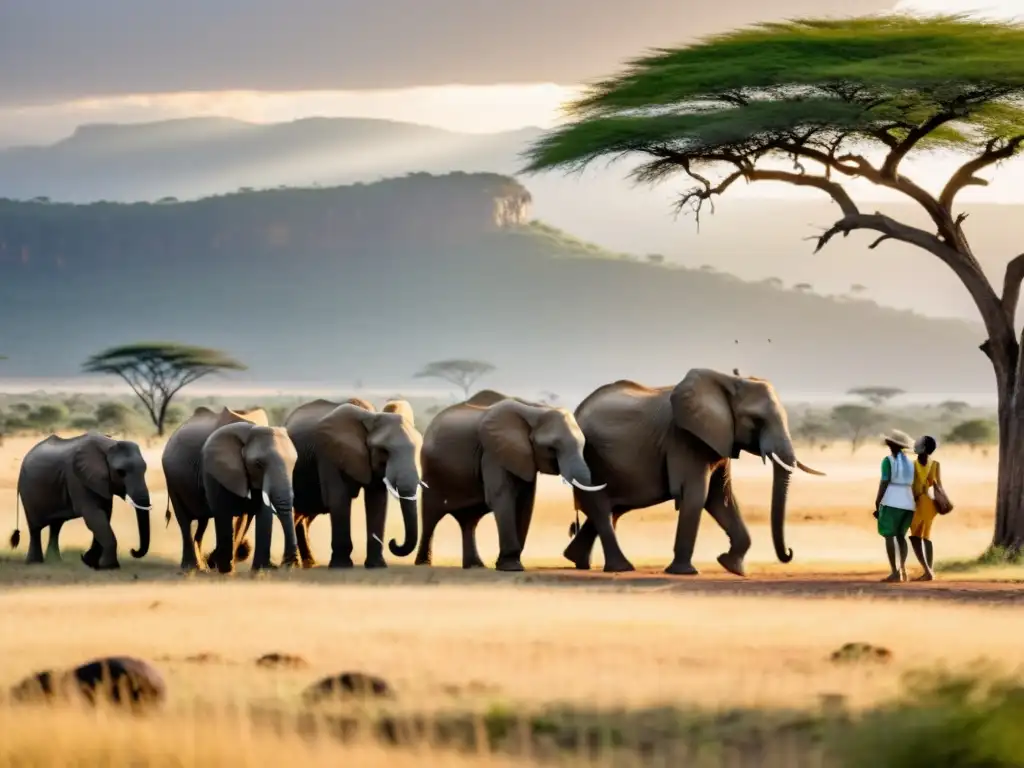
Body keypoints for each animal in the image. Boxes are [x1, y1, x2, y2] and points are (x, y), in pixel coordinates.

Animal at [8, 434, 153, 573]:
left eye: (145, 469)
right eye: (120, 472)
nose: (133, 550)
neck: (108, 445)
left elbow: (104, 515)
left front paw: (90, 562)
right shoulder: (77, 478)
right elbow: (94, 516)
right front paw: (109, 567)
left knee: (56, 527)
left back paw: (55, 561)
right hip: (27, 492)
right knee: (35, 528)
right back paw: (35, 563)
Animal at [159, 409, 296, 573]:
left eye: (295, 462)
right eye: (258, 464)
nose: (283, 564)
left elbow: (258, 514)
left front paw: (259, 570)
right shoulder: (213, 470)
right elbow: (223, 512)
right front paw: (224, 569)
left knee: (202, 523)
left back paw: (203, 565)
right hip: (172, 482)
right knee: (184, 520)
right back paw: (192, 567)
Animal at [284, 397, 419, 573]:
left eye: (416, 450)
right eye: (384, 451)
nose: (394, 541)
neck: (372, 416)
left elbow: (377, 501)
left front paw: (376, 566)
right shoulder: (330, 455)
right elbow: (339, 499)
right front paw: (341, 566)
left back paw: (309, 564)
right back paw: (292, 565)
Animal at [415, 391, 602, 573]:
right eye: (552, 448)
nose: (573, 526)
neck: (535, 410)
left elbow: (526, 502)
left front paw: (509, 563)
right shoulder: (493, 452)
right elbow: (501, 496)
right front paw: (511, 567)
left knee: (469, 521)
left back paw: (475, 566)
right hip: (431, 473)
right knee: (430, 516)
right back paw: (423, 563)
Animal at [561, 370, 823, 573]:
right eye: (756, 421)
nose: (789, 552)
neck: (729, 382)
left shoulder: (718, 439)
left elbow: (721, 498)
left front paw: (732, 567)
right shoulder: (687, 440)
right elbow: (698, 495)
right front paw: (684, 572)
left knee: (611, 510)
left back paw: (578, 561)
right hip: (591, 460)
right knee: (602, 509)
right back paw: (621, 568)